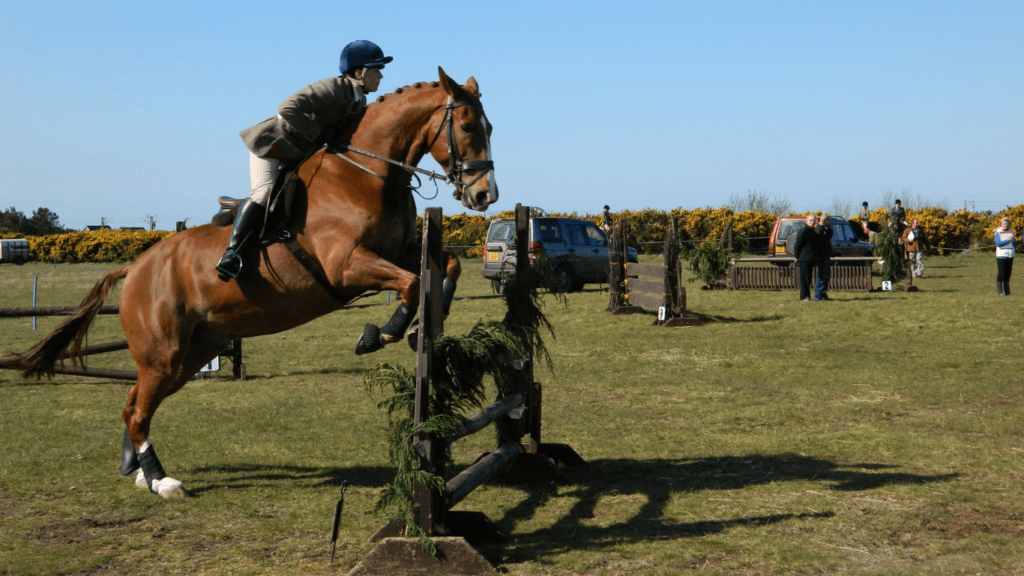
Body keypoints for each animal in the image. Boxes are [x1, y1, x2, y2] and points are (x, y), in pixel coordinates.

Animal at [3, 67, 499, 496]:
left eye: (488, 126)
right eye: (468, 127)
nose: (484, 195)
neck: (365, 174)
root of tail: (137, 268)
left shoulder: (397, 252)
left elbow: (444, 269)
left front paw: (422, 326)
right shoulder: (346, 266)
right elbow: (412, 284)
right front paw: (381, 334)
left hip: (192, 352)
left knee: (134, 403)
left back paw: (139, 471)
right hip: (163, 352)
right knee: (138, 409)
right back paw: (162, 481)